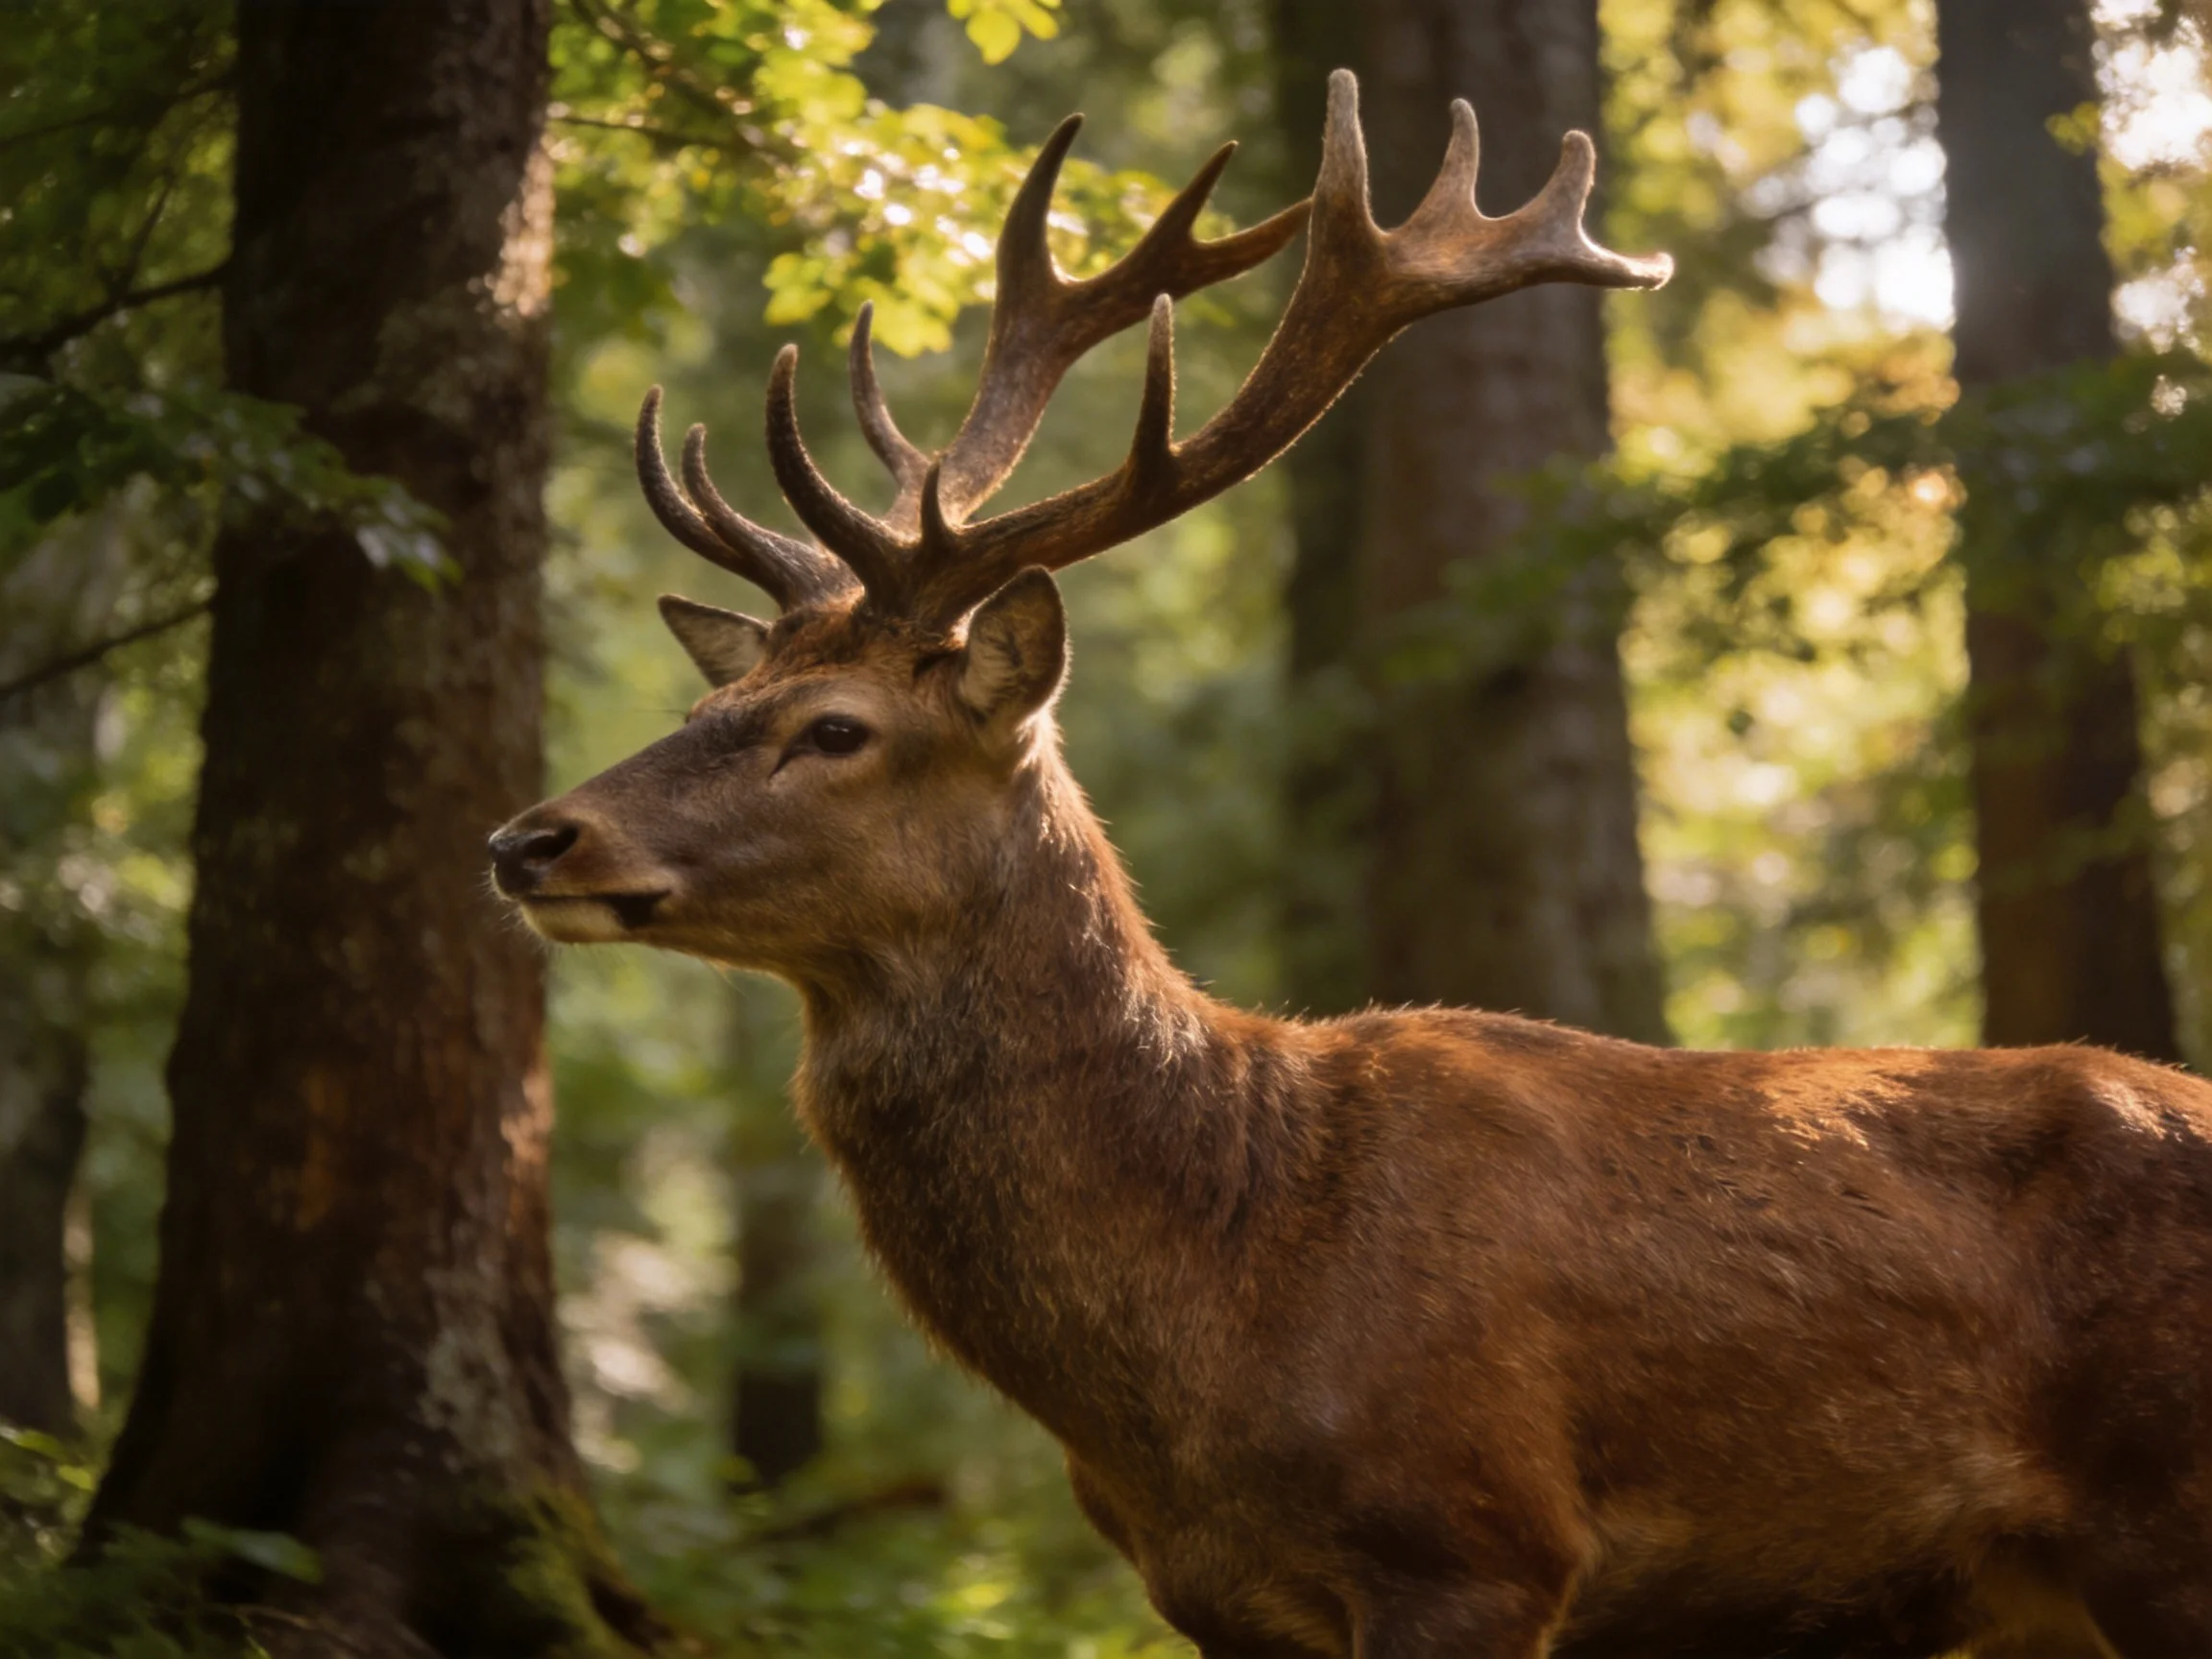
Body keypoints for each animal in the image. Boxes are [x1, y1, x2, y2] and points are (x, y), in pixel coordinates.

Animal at [490, 70, 2212, 1659]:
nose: (526, 834)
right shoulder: (1216, 1597)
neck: (1227, 1291)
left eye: (834, 728)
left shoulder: (1473, 1539)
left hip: (2163, 1517)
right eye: (704, 707)